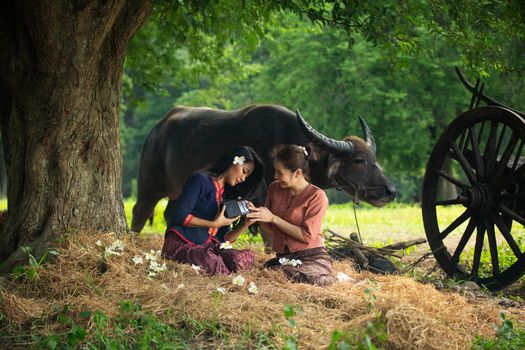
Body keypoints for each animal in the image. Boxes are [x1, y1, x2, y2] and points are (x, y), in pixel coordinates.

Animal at [130, 105, 392, 234]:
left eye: (374, 158)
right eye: (358, 160)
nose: (390, 191)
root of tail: (156, 131)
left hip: (179, 188)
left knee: (171, 212)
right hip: (148, 184)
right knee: (140, 211)